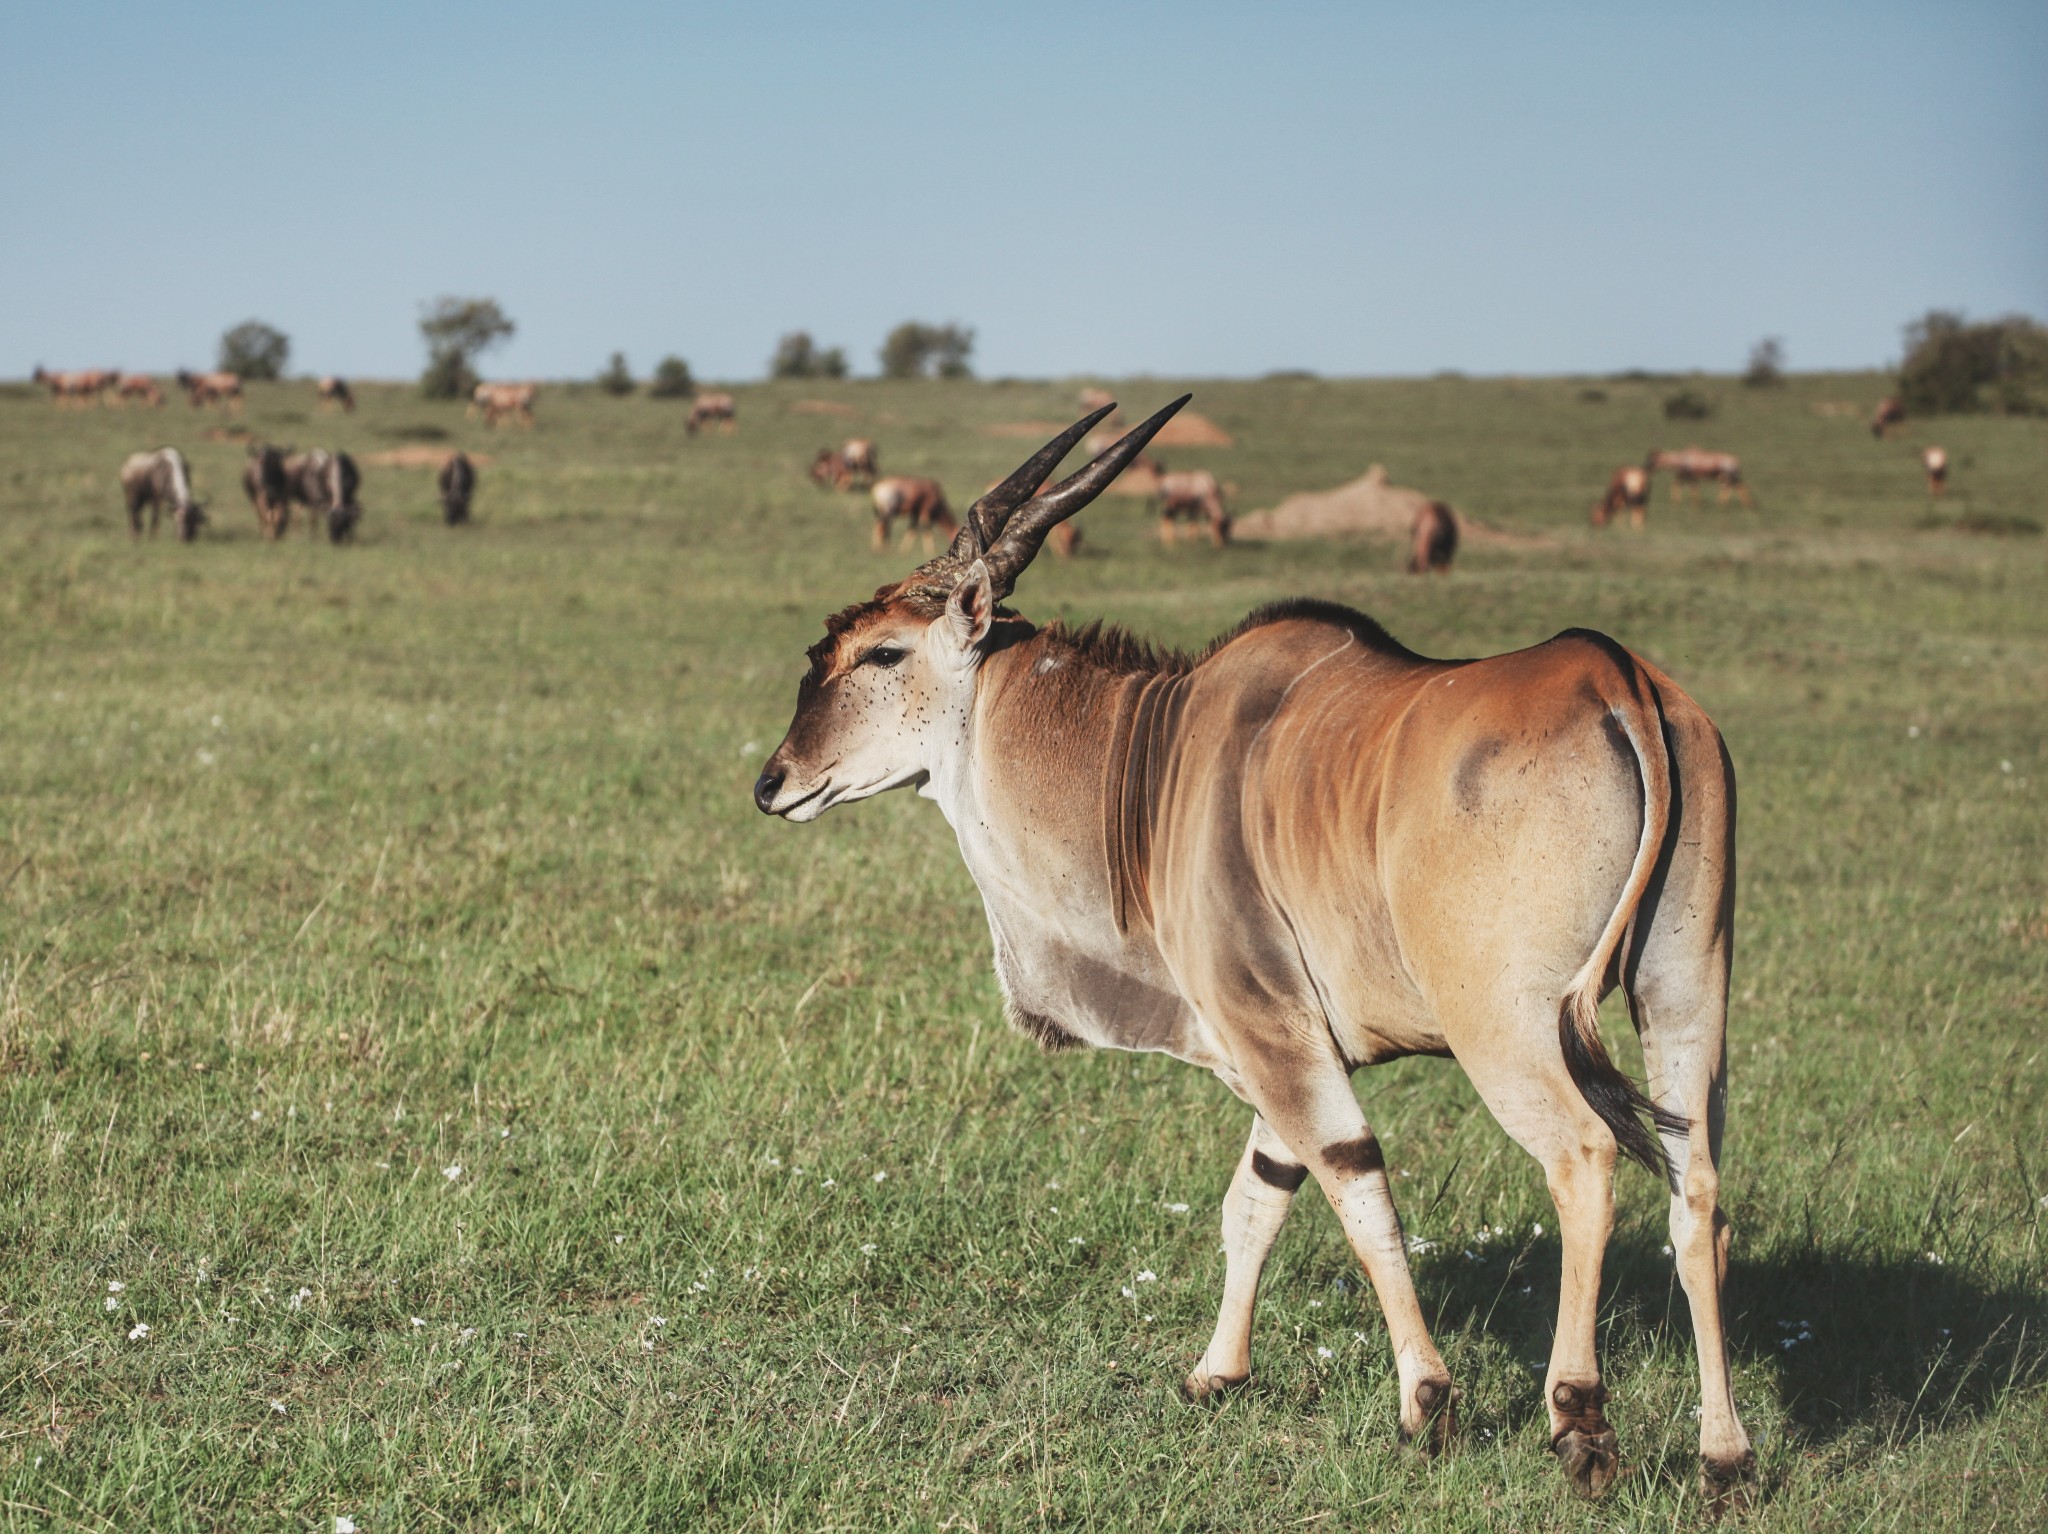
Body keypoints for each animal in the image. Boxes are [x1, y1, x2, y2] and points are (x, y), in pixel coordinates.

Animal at [761, 397, 1753, 1507]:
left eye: (882, 653)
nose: (773, 780)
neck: (1151, 766)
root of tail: (1613, 677)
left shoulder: (1270, 1031)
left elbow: (1351, 1186)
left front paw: (1425, 1403)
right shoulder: (1282, 1044)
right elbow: (1258, 1197)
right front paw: (1214, 1372)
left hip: (1507, 1026)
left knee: (1582, 1161)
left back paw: (1578, 1422)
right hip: (1683, 996)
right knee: (1698, 1194)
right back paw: (1724, 1452)